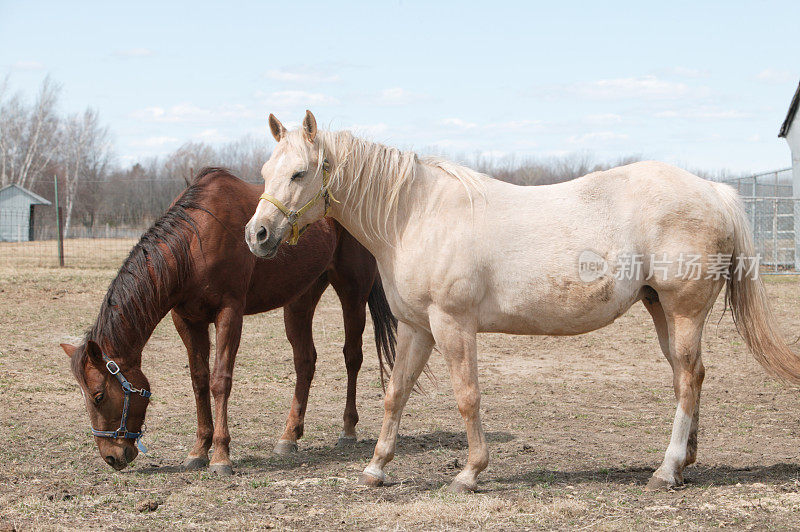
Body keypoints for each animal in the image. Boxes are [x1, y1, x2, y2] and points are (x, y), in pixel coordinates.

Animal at [61, 167, 396, 474]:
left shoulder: (229, 313)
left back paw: (348, 430)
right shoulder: (187, 320)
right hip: (300, 299)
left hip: (353, 292)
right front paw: (198, 450)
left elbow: (220, 380)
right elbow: (199, 381)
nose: (111, 456)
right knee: (305, 361)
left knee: (352, 357)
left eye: (98, 396)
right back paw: (289, 436)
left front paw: (221, 455)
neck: (193, 243)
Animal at [247, 110, 800, 492]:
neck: (415, 215)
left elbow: (467, 396)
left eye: (299, 173)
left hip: (682, 311)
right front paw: (376, 468)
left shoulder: (452, 326)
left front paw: (470, 473)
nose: (257, 235)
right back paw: (684, 463)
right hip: (660, 308)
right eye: (267, 169)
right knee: (691, 375)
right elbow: (395, 393)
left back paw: (665, 471)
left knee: (686, 378)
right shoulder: (416, 328)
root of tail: (712, 191)